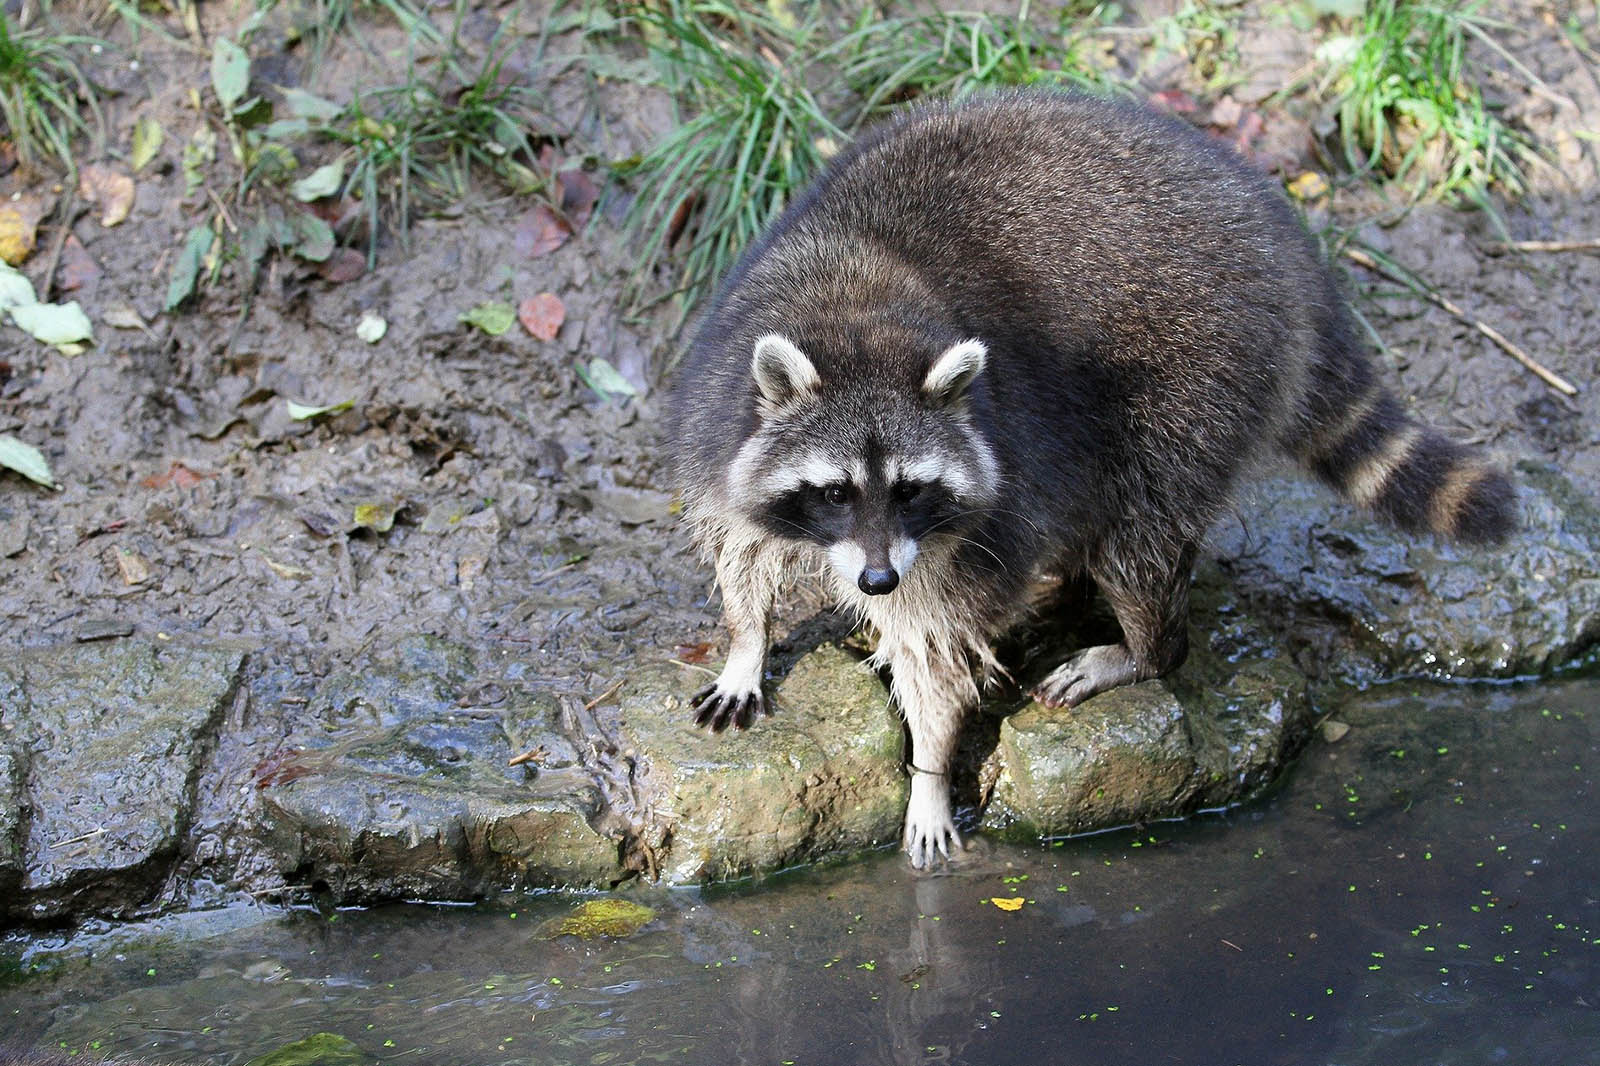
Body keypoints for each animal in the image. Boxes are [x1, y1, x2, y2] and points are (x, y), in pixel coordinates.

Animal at [665, 87, 1510, 870]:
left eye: (910, 489)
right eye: (836, 492)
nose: (876, 580)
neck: (856, 310)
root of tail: (1284, 241)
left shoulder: (975, 497)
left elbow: (936, 639)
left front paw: (930, 768)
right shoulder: (720, 407)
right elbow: (741, 542)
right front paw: (746, 641)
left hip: (1199, 374)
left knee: (1141, 534)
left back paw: (1146, 646)